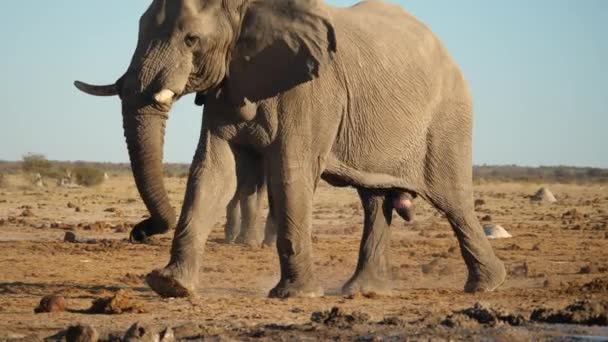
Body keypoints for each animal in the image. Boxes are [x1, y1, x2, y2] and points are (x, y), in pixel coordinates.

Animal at [75, 0, 504, 298]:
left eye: (191, 39)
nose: (139, 231)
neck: (250, 9)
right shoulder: (230, 82)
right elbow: (212, 172)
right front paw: (170, 286)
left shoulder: (311, 91)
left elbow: (289, 171)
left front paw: (296, 295)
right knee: (374, 201)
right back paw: (363, 291)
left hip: (447, 120)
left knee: (453, 201)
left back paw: (487, 285)